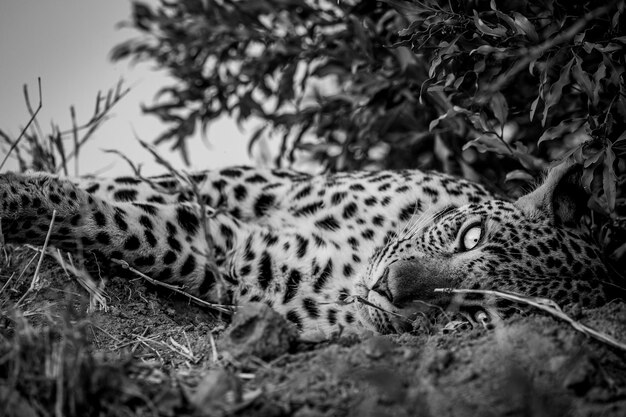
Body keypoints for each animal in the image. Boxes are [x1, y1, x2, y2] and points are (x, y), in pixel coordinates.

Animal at [0, 157, 620, 338]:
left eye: (473, 315)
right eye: (470, 236)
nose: (387, 290)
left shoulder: (249, 264)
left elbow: (125, 223)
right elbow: (123, 195)